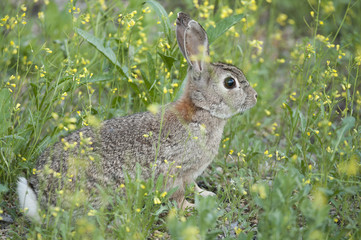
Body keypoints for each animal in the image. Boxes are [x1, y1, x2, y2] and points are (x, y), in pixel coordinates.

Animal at [16, 12, 258, 222]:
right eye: (230, 83)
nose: (255, 97)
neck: (201, 111)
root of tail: (41, 197)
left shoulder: (190, 174)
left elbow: (194, 186)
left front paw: (206, 195)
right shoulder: (175, 170)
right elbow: (178, 194)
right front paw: (189, 209)